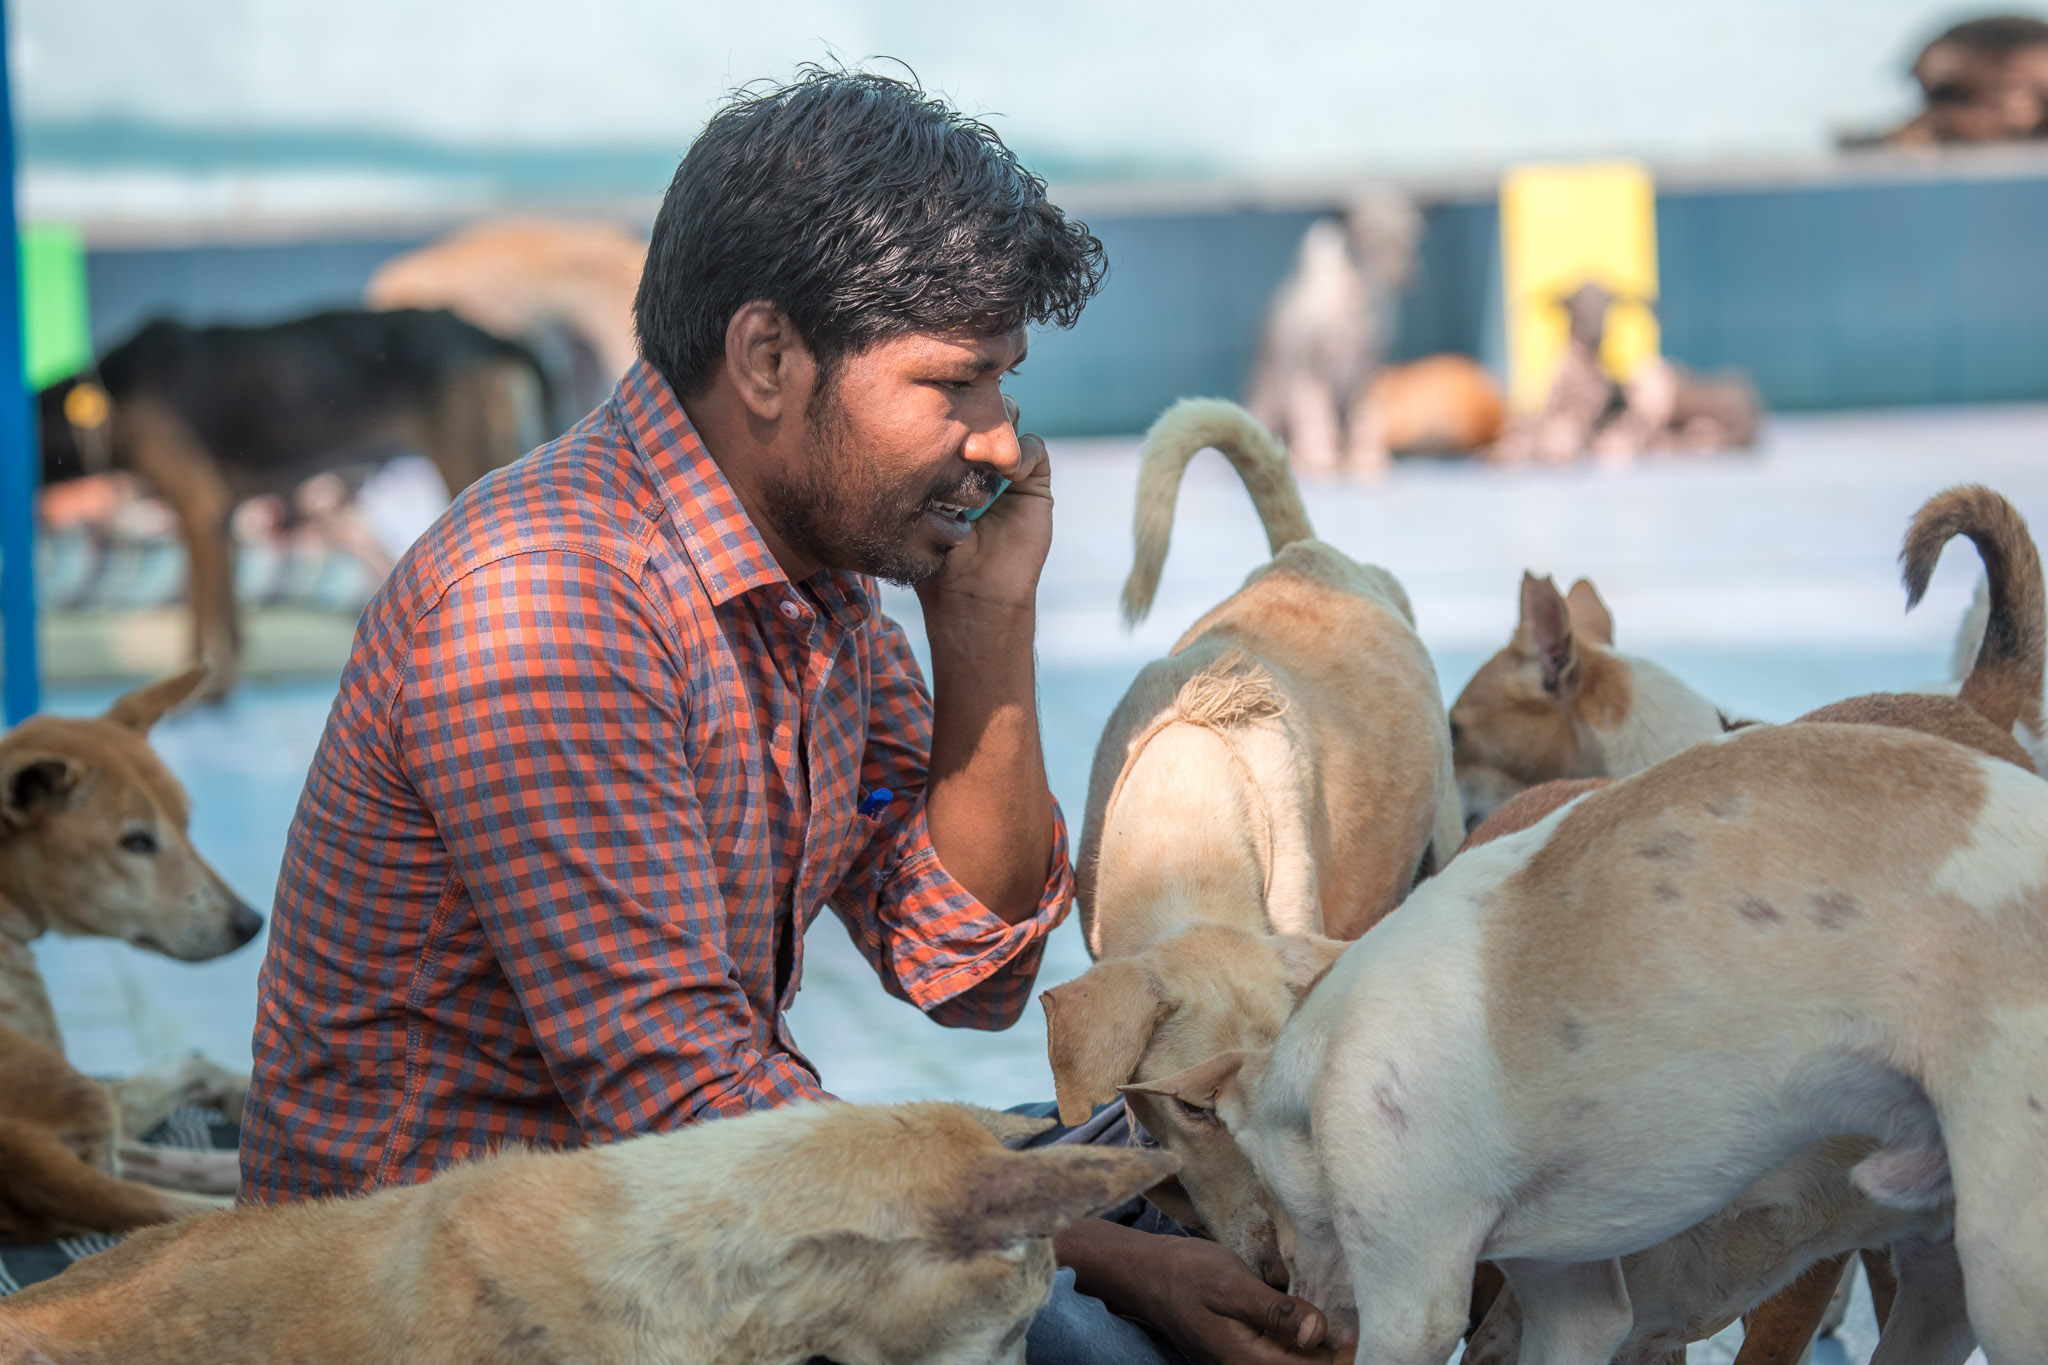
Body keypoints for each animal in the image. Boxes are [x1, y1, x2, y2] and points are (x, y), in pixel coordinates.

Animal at [0, 665, 260, 1189]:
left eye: (186, 822)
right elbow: (183, 1064)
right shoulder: (111, 1105)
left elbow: (193, 1064)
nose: (251, 923)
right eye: (136, 841)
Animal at [40, 309, 547, 700]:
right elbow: (226, 614)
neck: (113, 389)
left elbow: (202, 619)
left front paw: (200, 692)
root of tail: (487, 334)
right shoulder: (221, 521)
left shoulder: (200, 511)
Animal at [1137, 719, 2048, 1364]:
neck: (1321, 1060)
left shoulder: (1413, 1305)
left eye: (1270, 1201)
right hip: (1943, 1286)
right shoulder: (1575, 1302)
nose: (1282, 1290)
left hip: (2008, 1271)